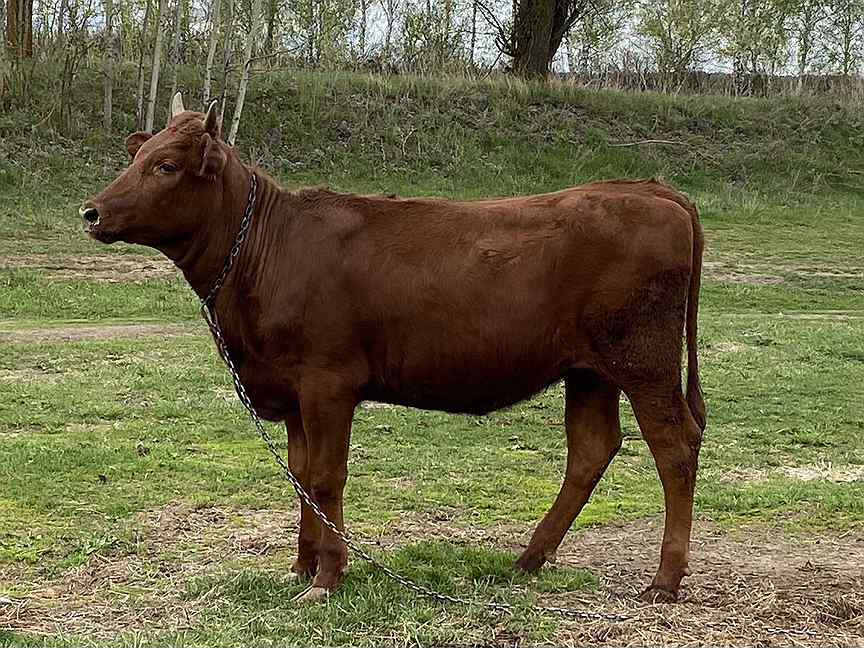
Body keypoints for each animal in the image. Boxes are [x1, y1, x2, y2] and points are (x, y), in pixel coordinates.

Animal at [77, 93, 704, 604]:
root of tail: (652, 190)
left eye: (165, 165)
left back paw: (666, 579)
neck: (265, 252)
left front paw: (328, 578)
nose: (92, 211)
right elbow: (301, 475)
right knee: (592, 448)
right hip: (589, 369)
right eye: (136, 155)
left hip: (644, 361)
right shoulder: (290, 387)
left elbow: (326, 476)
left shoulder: (327, 383)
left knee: (674, 446)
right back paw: (529, 557)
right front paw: (302, 566)